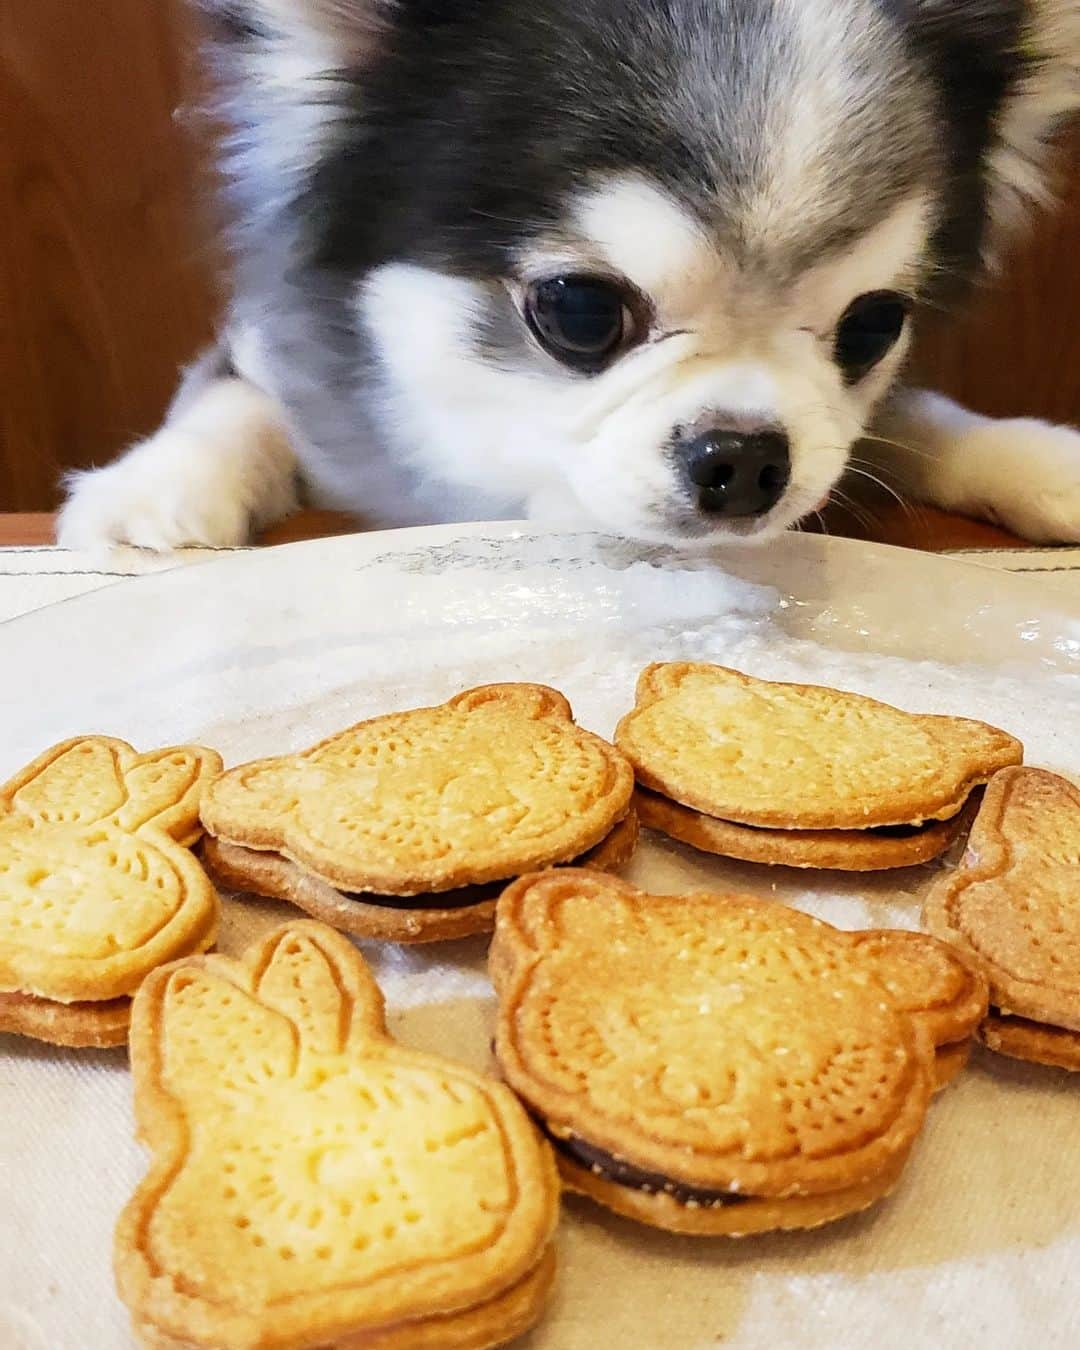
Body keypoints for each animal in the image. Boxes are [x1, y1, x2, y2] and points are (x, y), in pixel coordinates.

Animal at [59, 1, 1080, 548]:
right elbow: (235, 403)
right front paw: (155, 488)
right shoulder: (272, 355)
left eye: (872, 327)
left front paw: (1034, 457)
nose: (748, 455)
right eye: (580, 313)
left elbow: (916, 419)